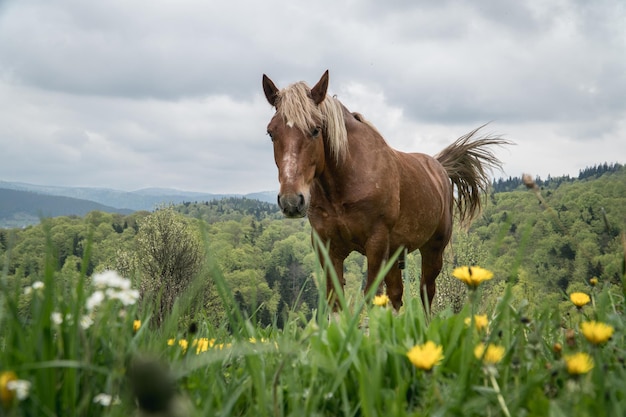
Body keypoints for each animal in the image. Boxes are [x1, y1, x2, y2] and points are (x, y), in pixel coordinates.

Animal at [260, 70, 510, 308]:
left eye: (315, 130)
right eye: (271, 133)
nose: (292, 201)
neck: (344, 185)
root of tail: (438, 166)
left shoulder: (376, 245)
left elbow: (373, 296)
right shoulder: (329, 249)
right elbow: (336, 300)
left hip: (433, 250)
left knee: (426, 293)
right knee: (397, 295)